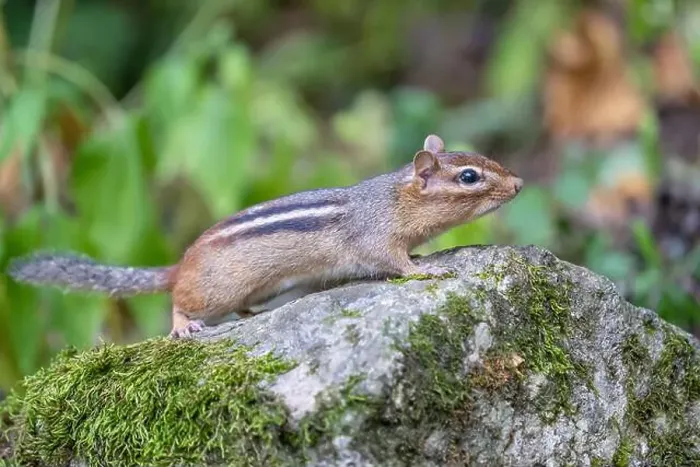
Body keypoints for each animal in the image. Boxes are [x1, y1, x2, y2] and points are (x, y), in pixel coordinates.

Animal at [7, 134, 523, 338]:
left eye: (480, 159)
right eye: (470, 177)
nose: (519, 183)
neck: (394, 197)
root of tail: (180, 264)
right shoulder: (375, 237)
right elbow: (394, 262)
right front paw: (426, 268)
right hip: (213, 289)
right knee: (179, 300)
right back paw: (183, 326)